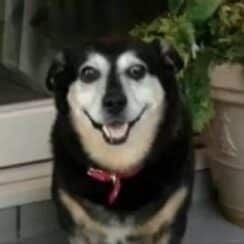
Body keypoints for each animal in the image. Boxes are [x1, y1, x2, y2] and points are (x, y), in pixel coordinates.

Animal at [46, 39, 193, 243]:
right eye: (88, 73)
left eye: (137, 70)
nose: (114, 102)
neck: (118, 168)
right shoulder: (76, 225)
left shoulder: (171, 221)